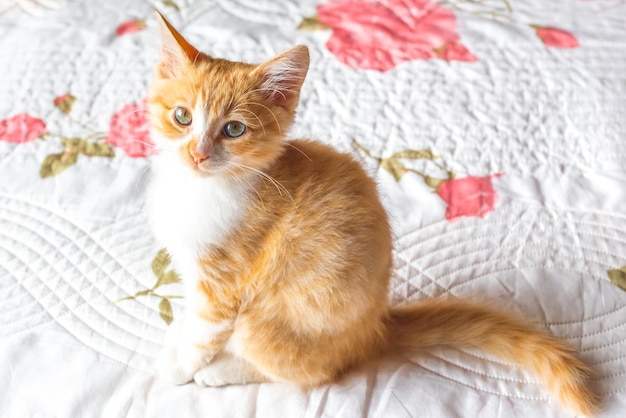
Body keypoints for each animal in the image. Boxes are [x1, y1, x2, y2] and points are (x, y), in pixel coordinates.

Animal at [145, 11, 596, 416]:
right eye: (182, 117)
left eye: (234, 130)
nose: (198, 154)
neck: (199, 189)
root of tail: (376, 329)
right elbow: (193, 310)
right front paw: (179, 330)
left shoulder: (226, 278)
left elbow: (207, 330)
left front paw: (182, 365)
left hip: (273, 323)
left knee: (305, 370)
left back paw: (226, 369)